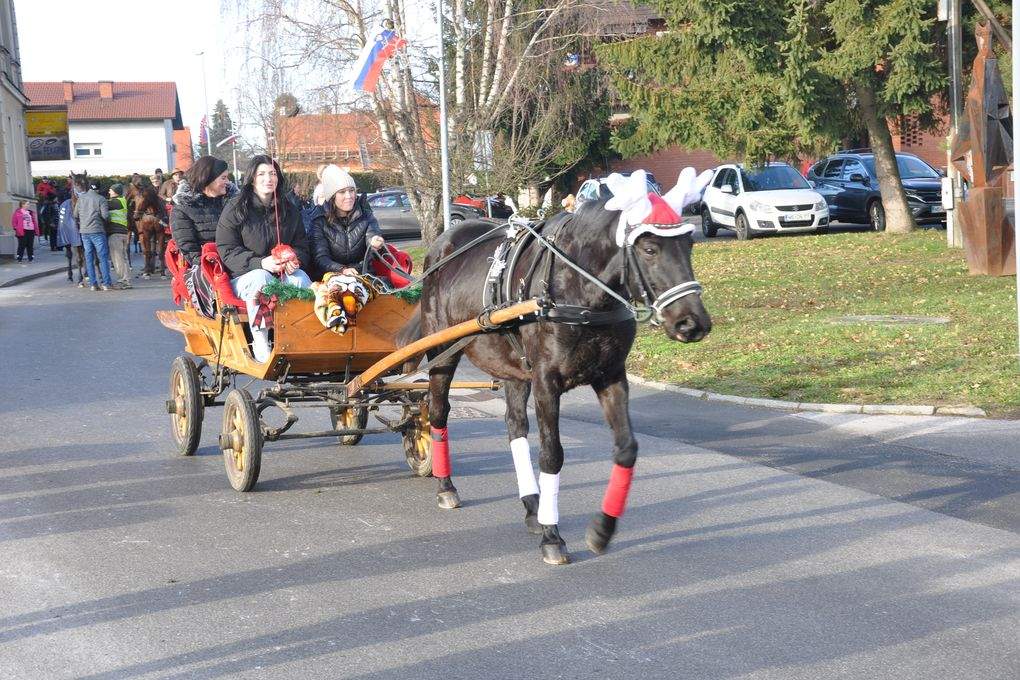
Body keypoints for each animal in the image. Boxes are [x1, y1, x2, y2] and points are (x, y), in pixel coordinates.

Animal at [401, 170, 714, 562]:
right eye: (649, 249)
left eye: (689, 245)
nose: (693, 323)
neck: (578, 291)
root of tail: (441, 245)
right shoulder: (546, 382)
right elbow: (552, 455)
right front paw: (553, 535)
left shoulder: (611, 376)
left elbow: (627, 448)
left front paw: (602, 529)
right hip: (443, 351)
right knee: (439, 412)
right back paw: (446, 484)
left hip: (514, 369)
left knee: (515, 427)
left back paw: (532, 505)